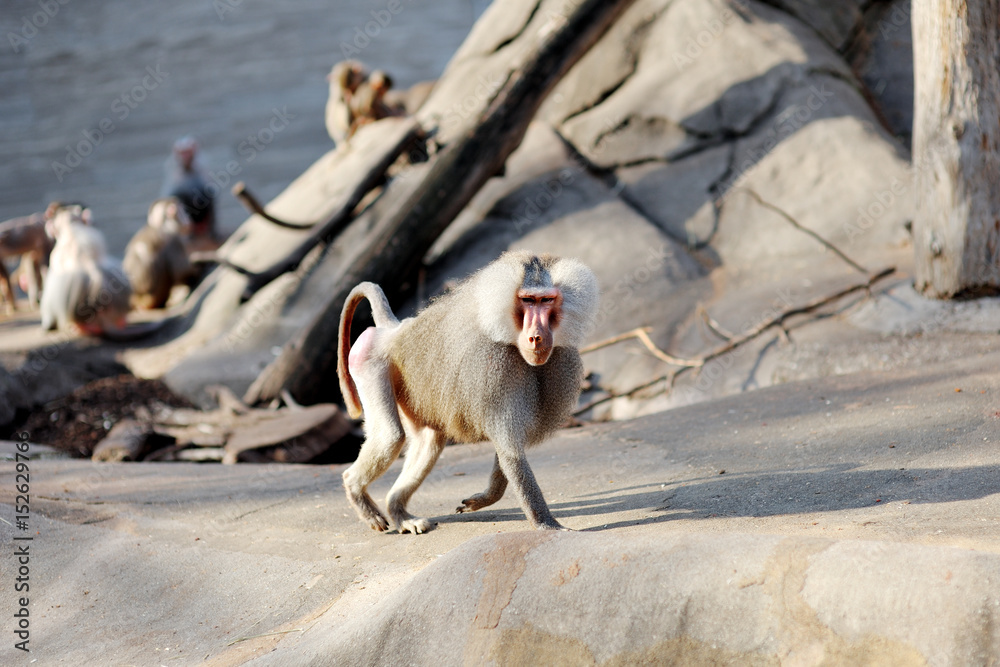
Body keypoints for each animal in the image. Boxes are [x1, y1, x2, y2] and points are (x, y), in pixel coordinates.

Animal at [337, 251, 599, 534]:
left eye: (546, 300)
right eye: (528, 300)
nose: (536, 337)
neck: (510, 337)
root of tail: (393, 330)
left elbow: (508, 447)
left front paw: (483, 499)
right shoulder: (495, 370)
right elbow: (510, 451)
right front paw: (547, 524)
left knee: (428, 442)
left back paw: (401, 514)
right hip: (368, 360)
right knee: (390, 436)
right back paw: (358, 494)